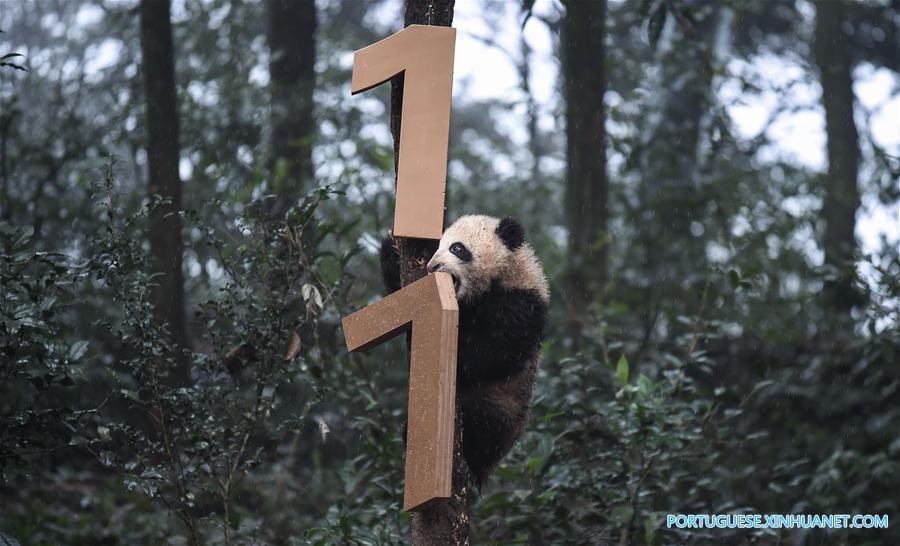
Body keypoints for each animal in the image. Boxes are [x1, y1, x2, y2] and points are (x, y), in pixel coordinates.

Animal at [380, 214, 548, 484]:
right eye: (437, 247)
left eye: (457, 248)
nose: (433, 267)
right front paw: (392, 247)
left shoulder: (521, 303)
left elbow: (495, 352)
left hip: (504, 408)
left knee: (483, 419)